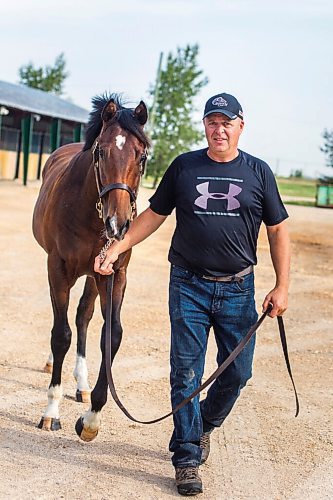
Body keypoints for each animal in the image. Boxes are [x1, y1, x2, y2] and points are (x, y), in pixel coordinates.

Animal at [32, 92, 149, 440]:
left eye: (142, 157)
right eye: (100, 151)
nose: (118, 224)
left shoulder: (113, 274)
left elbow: (111, 335)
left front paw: (91, 417)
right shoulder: (57, 268)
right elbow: (60, 335)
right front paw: (51, 412)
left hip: (92, 276)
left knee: (83, 315)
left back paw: (82, 385)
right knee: (65, 323)